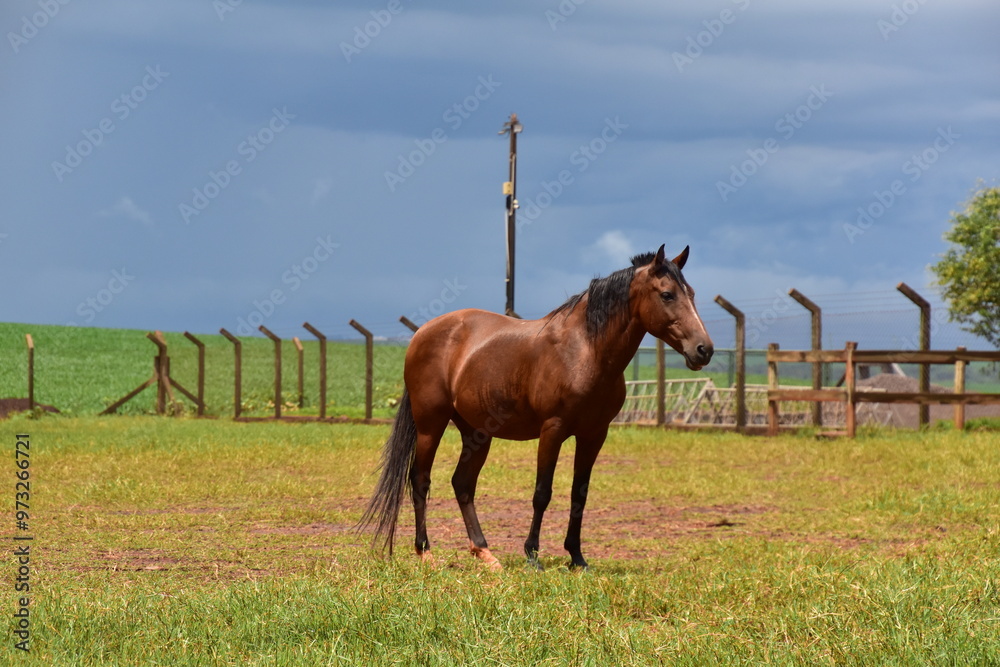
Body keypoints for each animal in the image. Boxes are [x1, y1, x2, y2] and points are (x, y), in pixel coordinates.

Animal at [359, 244, 714, 570]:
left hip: (476, 433)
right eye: (667, 294)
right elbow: (542, 492)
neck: (585, 351)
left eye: (692, 294)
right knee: (420, 481)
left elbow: (579, 494)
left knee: (462, 484)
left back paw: (485, 552)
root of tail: (423, 332)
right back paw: (425, 552)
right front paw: (532, 555)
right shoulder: (552, 430)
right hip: (430, 425)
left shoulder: (594, 435)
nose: (704, 349)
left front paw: (577, 557)